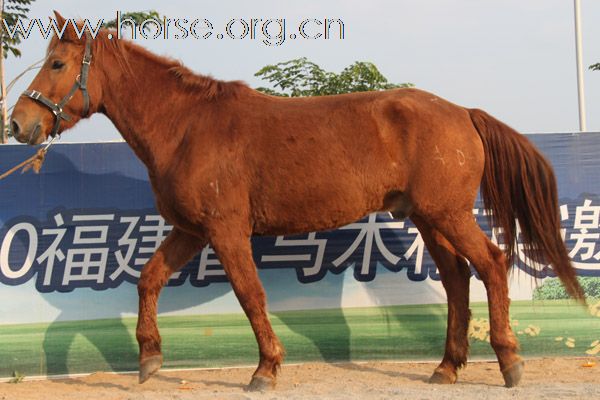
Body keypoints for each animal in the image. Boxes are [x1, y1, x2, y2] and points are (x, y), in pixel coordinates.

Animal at [10, 13, 580, 390]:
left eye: (57, 63)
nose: (18, 123)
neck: (188, 126)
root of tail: (462, 112)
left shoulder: (225, 230)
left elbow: (250, 294)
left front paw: (265, 369)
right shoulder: (191, 230)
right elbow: (149, 279)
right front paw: (150, 358)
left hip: (449, 215)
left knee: (492, 265)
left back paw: (509, 362)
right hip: (429, 218)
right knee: (459, 279)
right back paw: (446, 367)